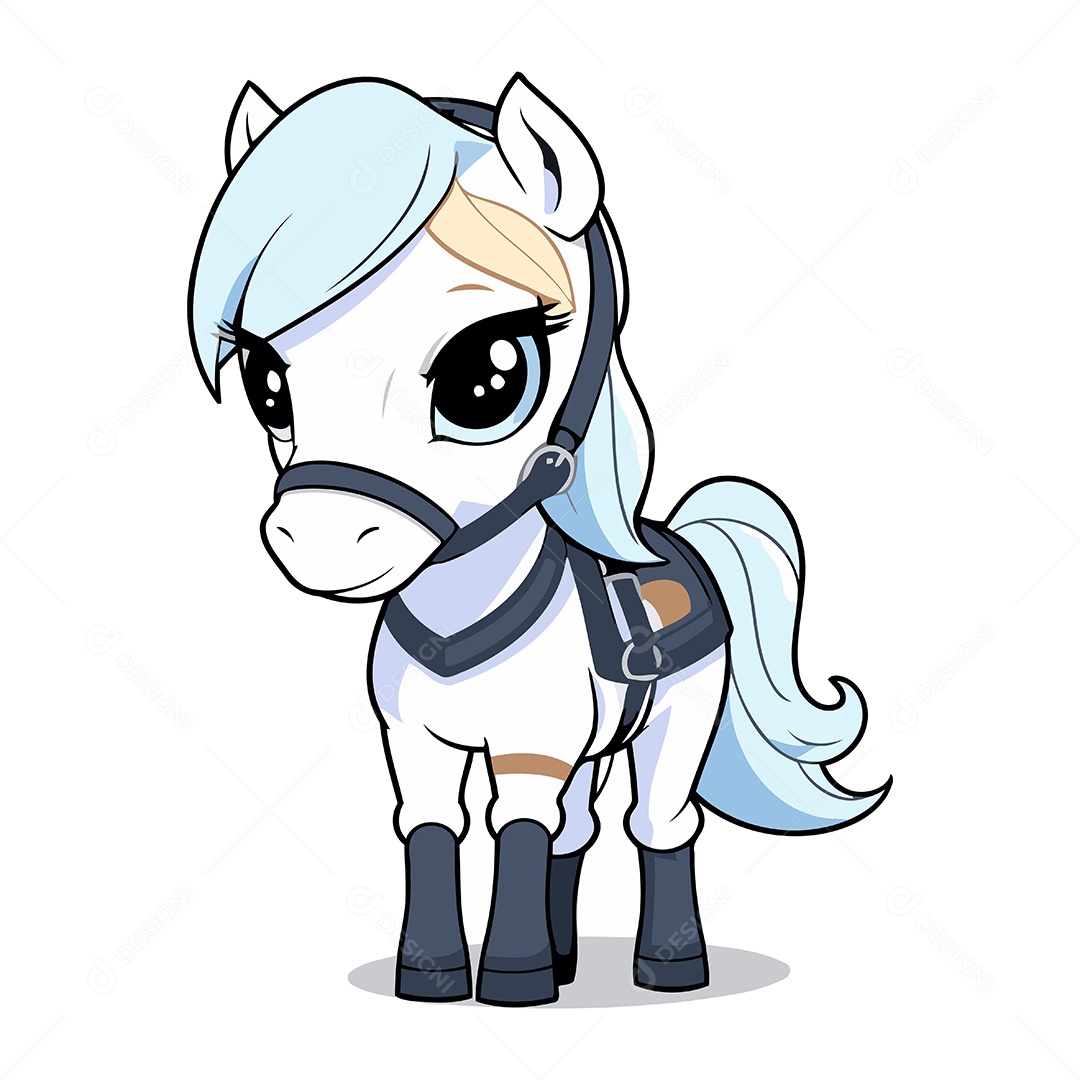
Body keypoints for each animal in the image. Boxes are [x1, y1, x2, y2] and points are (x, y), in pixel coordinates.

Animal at [187, 74, 891, 1007]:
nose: (322, 538)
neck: (460, 610)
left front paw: (512, 978)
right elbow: (433, 828)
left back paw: (667, 966)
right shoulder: (414, 744)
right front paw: (436, 973)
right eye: (268, 384)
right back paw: (566, 956)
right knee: (576, 831)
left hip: (677, 716)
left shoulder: (534, 748)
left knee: (658, 821)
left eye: (489, 376)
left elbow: (517, 826)